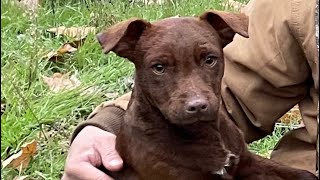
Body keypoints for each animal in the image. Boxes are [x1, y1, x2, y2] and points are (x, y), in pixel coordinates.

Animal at [95, 10, 318, 179]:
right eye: (158, 67)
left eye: (210, 59)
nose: (197, 106)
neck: (202, 132)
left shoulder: (247, 162)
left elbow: (302, 174)